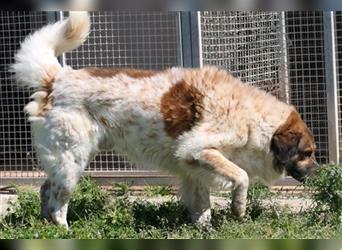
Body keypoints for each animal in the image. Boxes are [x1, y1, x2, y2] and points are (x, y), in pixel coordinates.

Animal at [11, 12, 318, 229]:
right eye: (307, 153)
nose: (318, 173)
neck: (252, 119)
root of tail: (56, 77)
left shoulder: (192, 166)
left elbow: (202, 204)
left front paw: (204, 229)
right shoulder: (198, 149)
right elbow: (240, 177)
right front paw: (238, 208)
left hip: (65, 160)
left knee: (45, 189)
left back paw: (45, 225)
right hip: (72, 160)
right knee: (57, 200)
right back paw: (63, 228)